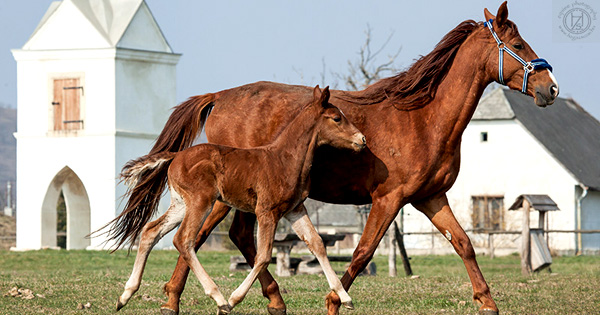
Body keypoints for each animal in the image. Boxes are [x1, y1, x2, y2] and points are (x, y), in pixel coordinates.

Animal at [112, 86, 366, 315]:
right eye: (337, 118)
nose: (362, 139)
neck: (285, 158)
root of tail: (176, 156)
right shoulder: (267, 212)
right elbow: (263, 257)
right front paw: (234, 300)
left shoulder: (295, 209)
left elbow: (317, 244)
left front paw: (346, 298)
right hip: (200, 202)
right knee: (183, 240)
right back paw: (219, 298)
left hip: (180, 204)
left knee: (150, 231)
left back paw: (125, 295)